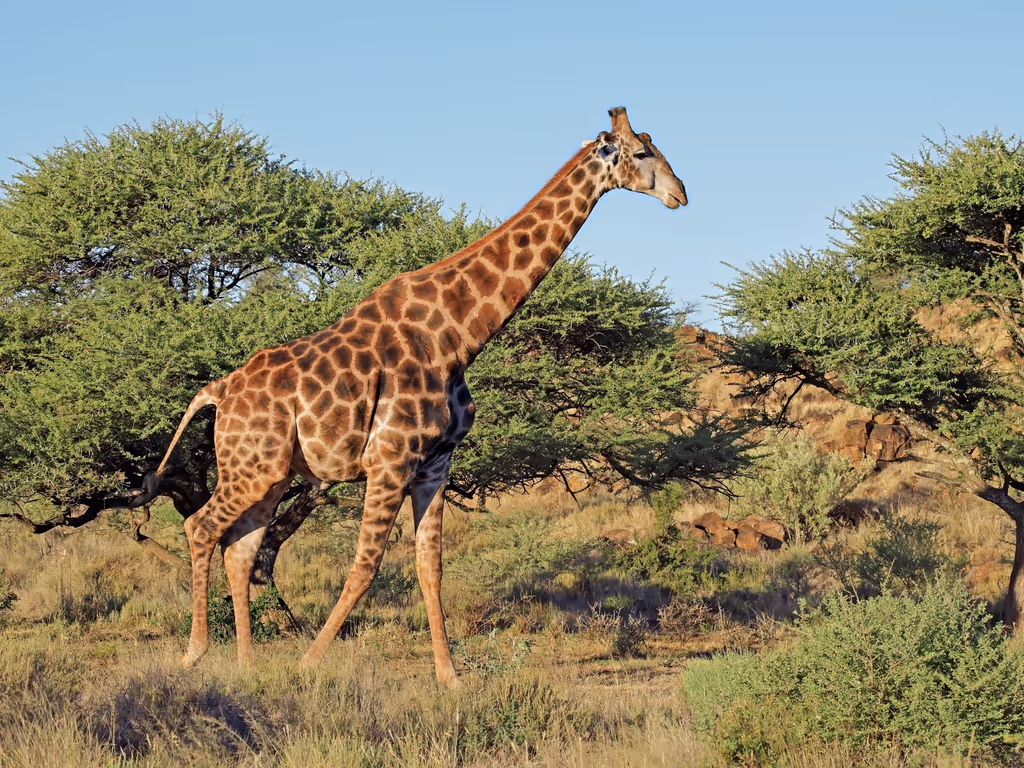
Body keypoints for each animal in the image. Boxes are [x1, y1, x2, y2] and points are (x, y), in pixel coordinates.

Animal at [155, 106, 687, 686]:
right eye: (643, 153)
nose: (681, 193)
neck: (457, 334)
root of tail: (218, 390)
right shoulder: (390, 457)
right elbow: (365, 566)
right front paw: (309, 662)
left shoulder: (436, 461)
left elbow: (429, 567)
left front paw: (449, 677)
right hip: (251, 467)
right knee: (201, 526)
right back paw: (195, 652)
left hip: (270, 473)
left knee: (242, 546)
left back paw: (248, 665)